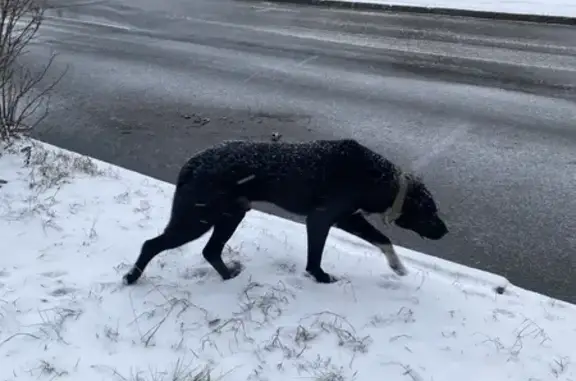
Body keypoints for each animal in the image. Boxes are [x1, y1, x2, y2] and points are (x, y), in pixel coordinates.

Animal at [122, 138, 450, 284]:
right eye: (431, 211)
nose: (445, 230)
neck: (376, 177)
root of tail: (191, 164)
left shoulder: (348, 217)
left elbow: (384, 239)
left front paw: (397, 267)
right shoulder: (322, 218)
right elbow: (316, 256)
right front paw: (321, 277)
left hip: (230, 214)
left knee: (210, 251)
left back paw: (229, 277)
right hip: (197, 216)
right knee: (151, 244)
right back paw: (131, 277)